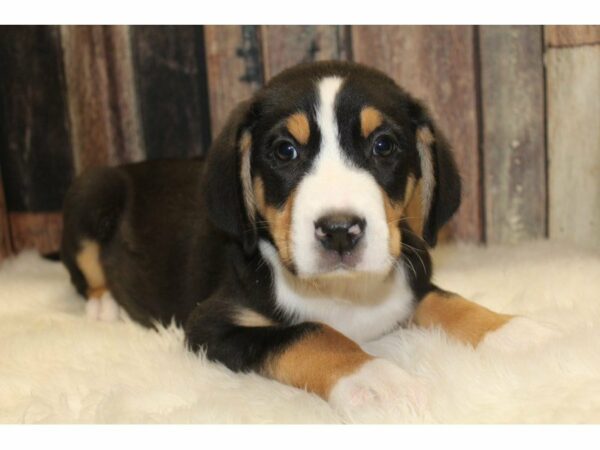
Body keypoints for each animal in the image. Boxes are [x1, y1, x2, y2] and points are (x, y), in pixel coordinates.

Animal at [61, 59, 544, 414]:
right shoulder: (210, 327)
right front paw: (377, 379)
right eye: (285, 151)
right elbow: (311, 332)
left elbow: (448, 301)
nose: (340, 230)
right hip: (94, 189)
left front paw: (511, 330)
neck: (341, 292)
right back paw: (103, 304)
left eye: (384, 146)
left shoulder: (411, 280)